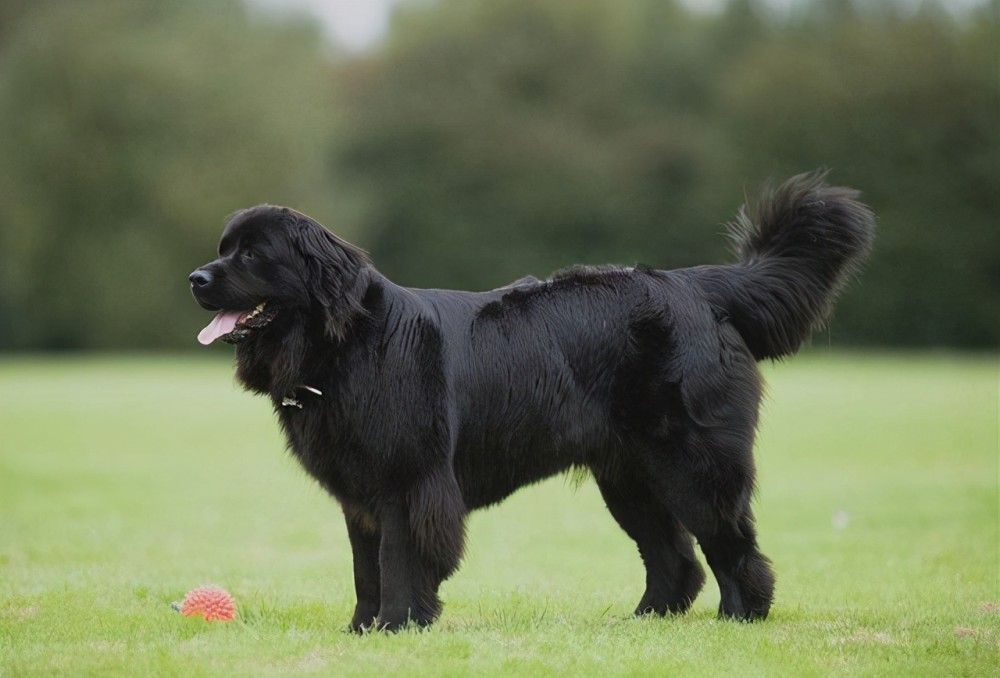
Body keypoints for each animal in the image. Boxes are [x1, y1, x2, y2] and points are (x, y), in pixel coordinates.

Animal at [189, 170, 876, 632]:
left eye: (251, 254)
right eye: (222, 249)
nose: (196, 278)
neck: (342, 345)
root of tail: (694, 286)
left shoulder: (409, 483)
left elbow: (400, 559)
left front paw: (398, 624)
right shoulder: (360, 495)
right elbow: (366, 568)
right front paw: (362, 631)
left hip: (692, 462)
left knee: (731, 543)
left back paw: (739, 617)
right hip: (630, 477)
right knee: (674, 556)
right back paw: (641, 622)